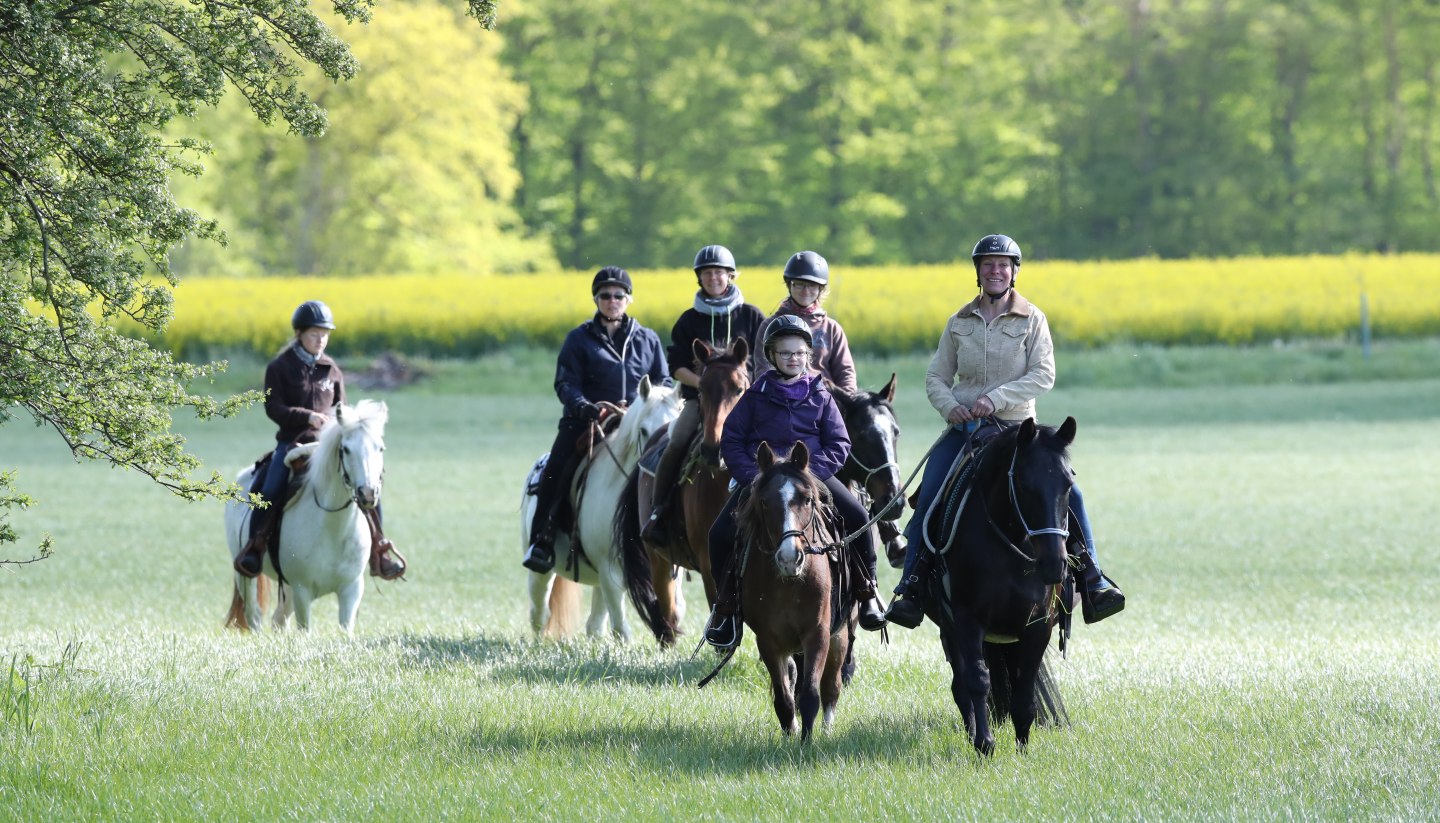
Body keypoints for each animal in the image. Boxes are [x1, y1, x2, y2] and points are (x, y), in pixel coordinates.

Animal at [221, 399, 385, 630]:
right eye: (346, 449)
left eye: (380, 448)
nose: (368, 493)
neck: (333, 528)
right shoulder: (302, 590)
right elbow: (305, 630)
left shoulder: (351, 589)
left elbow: (345, 629)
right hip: (245, 576)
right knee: (254, 617)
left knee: (278, 620)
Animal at [524, 376, 685, 638]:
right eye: (643, 430)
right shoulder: (610, 569)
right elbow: (622, 628)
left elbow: (675, 607)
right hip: (543, 573)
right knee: (539, 614)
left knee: (594, 625)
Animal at [616, 338, 754, 647]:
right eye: (701, 390)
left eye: (740, 389)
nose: (714, 449)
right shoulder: (709, 562)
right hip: (658, 562)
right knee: (667, 613)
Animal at [731, 440, 852, 742]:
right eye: (765, 502)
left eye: (807, 499)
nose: (789, 558)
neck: (789, 584)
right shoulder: (768, 640)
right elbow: (784, 698)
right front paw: (791, 734)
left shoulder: (818, 634)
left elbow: (810, 694)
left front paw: (807, 742)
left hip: (840, 637)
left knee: (831, 687)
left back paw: (827, 730)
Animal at [921, 417, 1082, 753]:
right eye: (1024, 484)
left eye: (1068, 485)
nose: (1054, 565)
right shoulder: (967, 621)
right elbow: (977, 681)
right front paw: (984, 744)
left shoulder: (1038, 625)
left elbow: (1025, 691)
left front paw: (1022, 749)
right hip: (949, 629)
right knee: (961, 685)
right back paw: (973, 733)